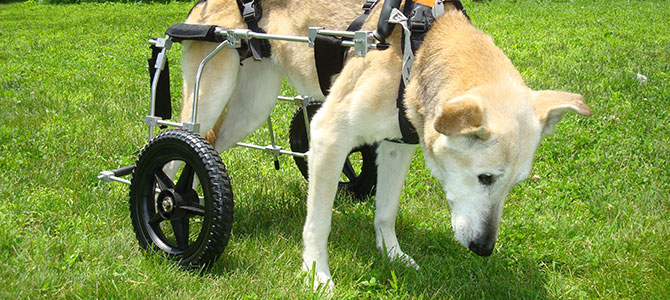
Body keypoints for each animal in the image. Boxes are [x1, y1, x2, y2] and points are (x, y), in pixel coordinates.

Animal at [177, 0, 592, 288]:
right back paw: (172, 205)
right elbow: (318, 225)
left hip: (253, 107)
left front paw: (393, 255)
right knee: (179, 145)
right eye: (485, 178)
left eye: (514, 185)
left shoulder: (397, 146)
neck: (419, 48)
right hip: (210, 93)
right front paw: (316, 275)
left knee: (209, 142)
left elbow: (386, 212)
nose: (484, 249)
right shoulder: (329, 134)